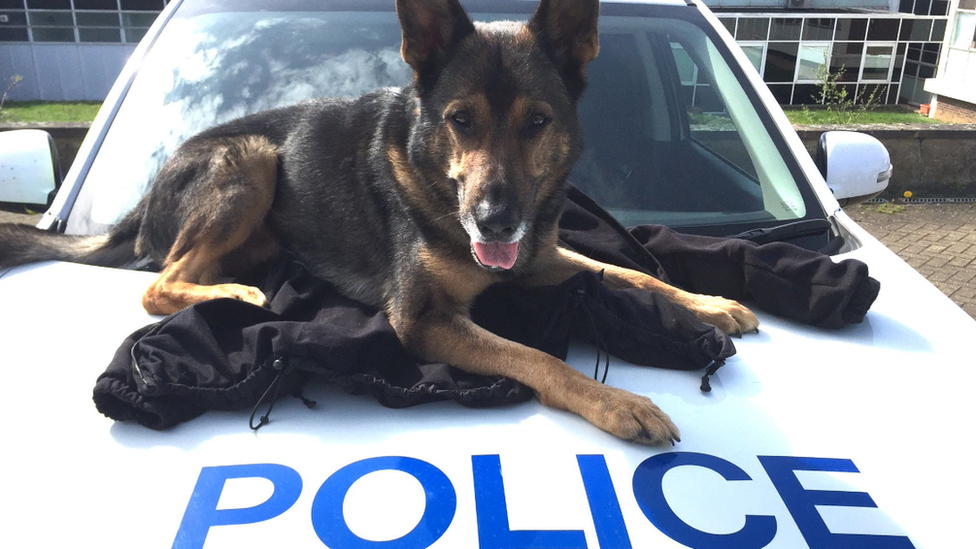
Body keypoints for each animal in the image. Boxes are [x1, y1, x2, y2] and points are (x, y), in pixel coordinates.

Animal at [0, 0, 760, 444]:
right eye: (461, 121)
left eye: (537, 123)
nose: (495, 224)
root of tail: (147, 197)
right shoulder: (424, 320)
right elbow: (536, 355)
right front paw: (617, 401)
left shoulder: (541, 257)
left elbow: (629, 273)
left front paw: (710, 301)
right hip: (252, 158)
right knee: (159, 281)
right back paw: (235, 293)